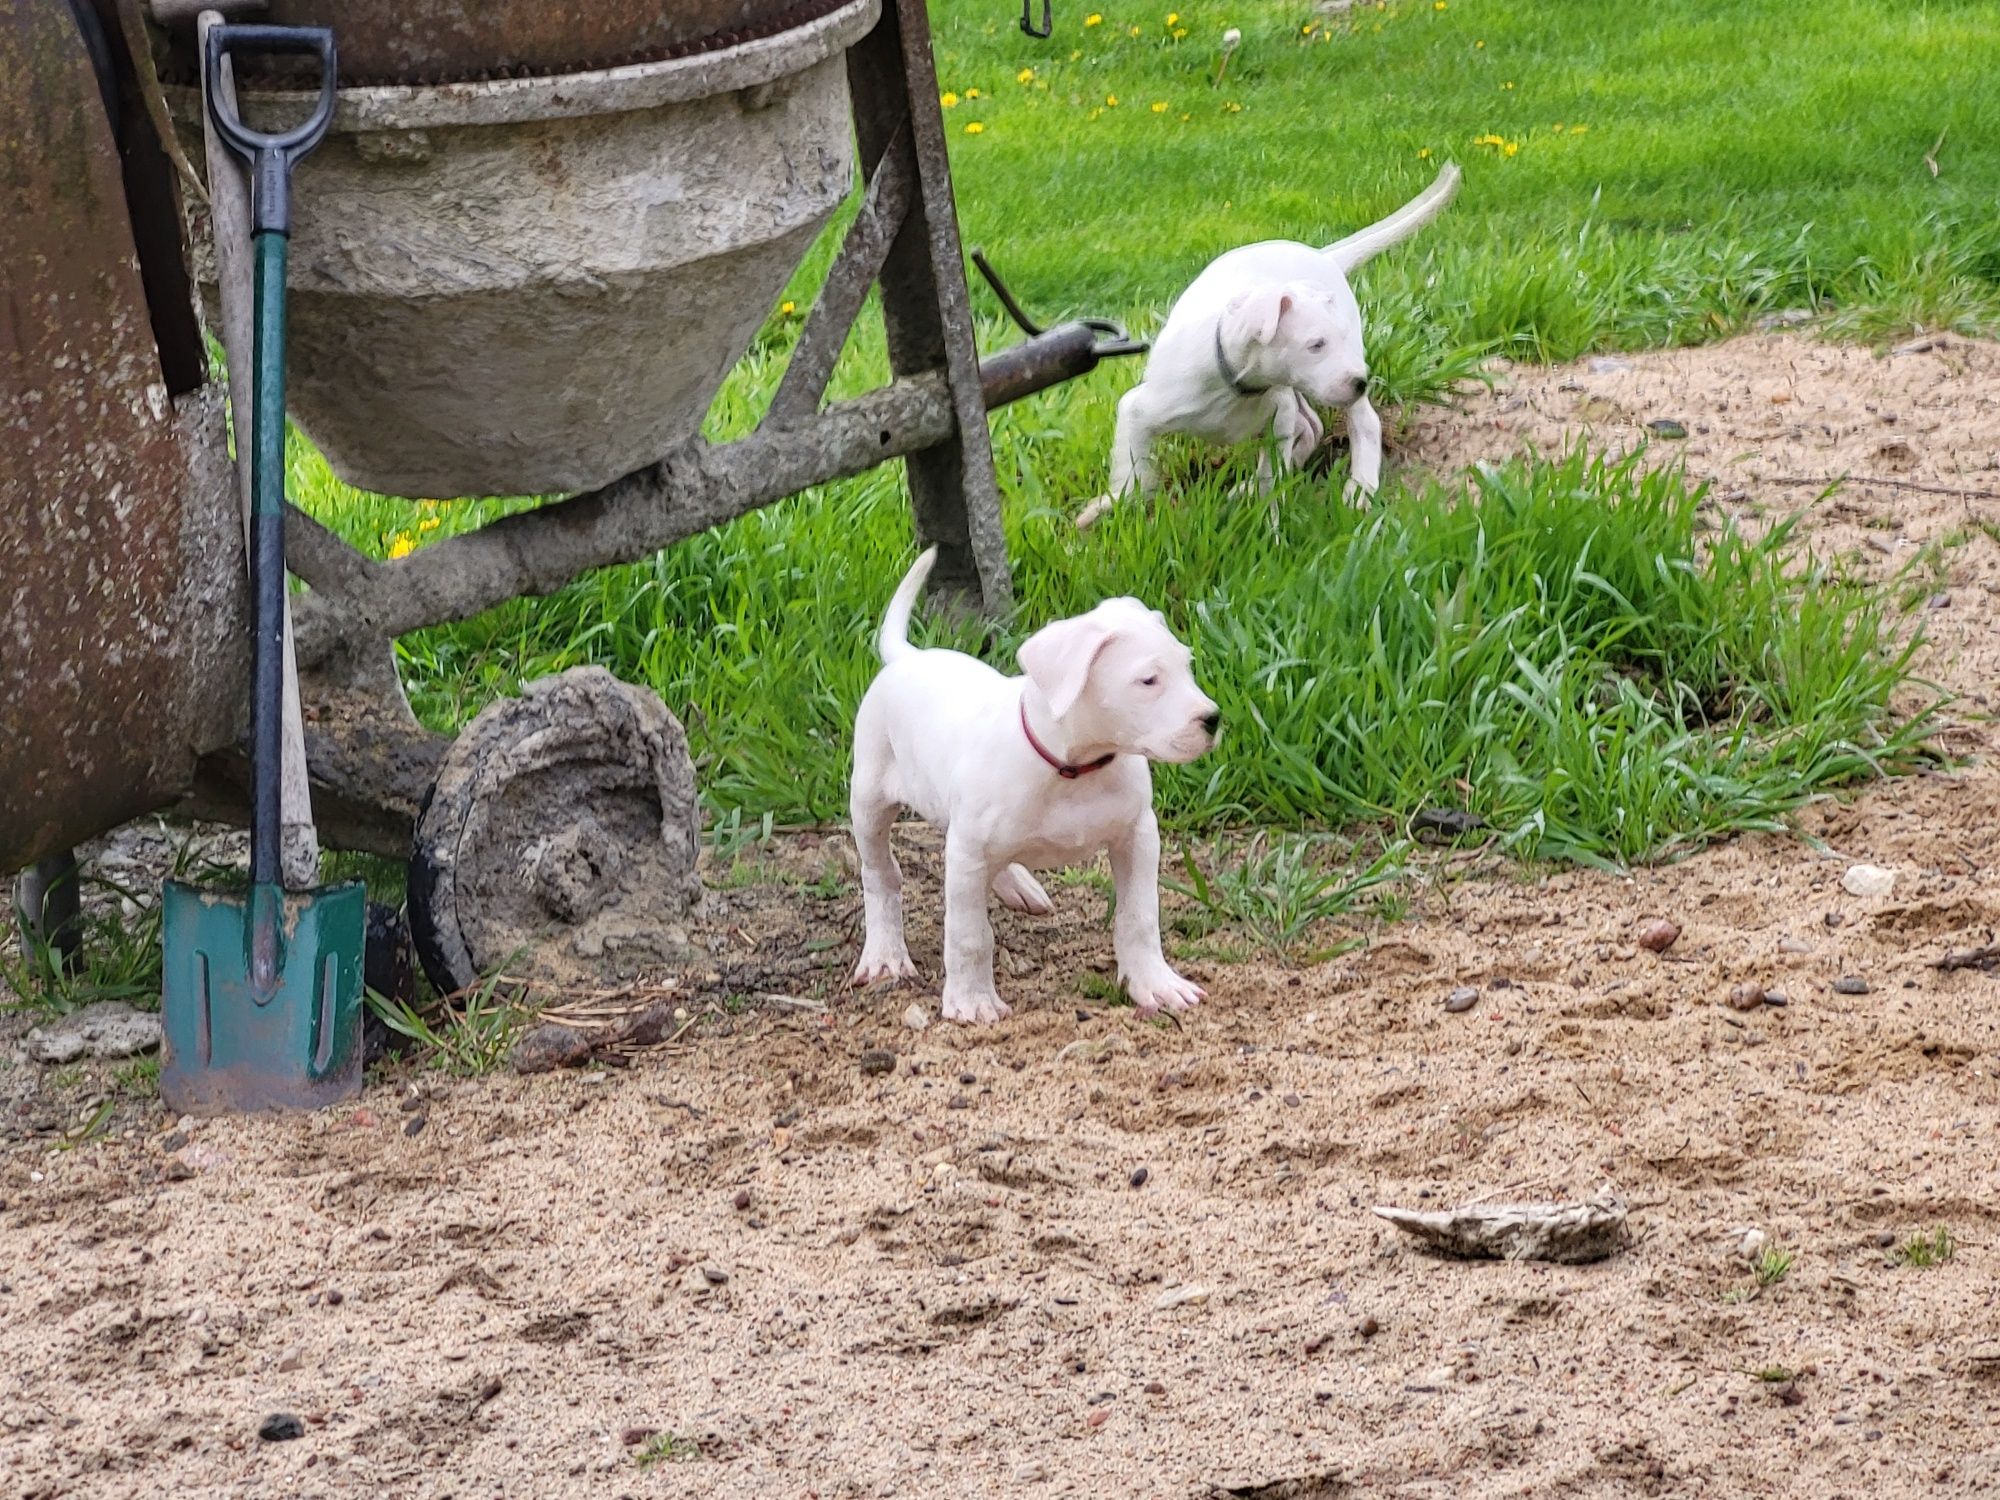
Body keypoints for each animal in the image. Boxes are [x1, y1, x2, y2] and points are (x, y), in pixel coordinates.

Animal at [848, 548, 1216, 1032]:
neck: (1073, 768)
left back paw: (1016, 885)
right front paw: (972, 1001)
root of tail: (907, 658)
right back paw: (885, 954)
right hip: (870, 802)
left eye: (1186, 666)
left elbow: (1140, 916)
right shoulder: (968, 854)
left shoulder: (1138, 836)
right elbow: (969, 934)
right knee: (881, 875)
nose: (1213, 720)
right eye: (1148, 680)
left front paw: (1155, 983)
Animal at [1088, 162, 1464, 524]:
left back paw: (1357, 488)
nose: (1361, 382)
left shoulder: (1277, 423)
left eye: (1335, 340)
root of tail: (1323, 256)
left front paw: (1267, 519)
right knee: (1311, 427)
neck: (1234, 384)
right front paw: (1114, 507)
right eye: (1316, 345)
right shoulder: (1140, 409)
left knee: (1359, 424)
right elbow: (1131, 471)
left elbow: (1273, 475)